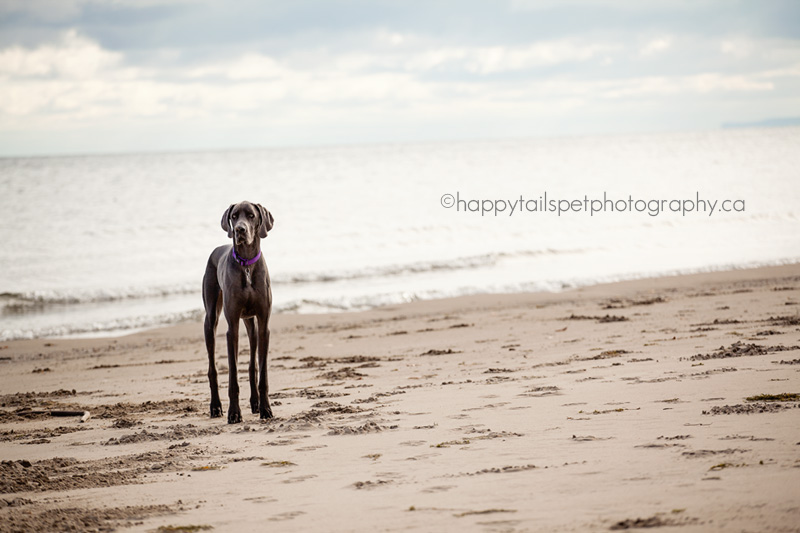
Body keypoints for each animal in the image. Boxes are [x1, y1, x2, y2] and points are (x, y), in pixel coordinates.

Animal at [203, 202, 276, 422]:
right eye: (234, 216)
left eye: (251, 215)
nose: (239, 230)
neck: (247, 265)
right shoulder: (232, 326)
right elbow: (233, 376)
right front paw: (234, 413)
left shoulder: (263, 323)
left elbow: (262, 373)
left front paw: (266, 409)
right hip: (210, 320)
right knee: (212, 369)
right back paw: (215, 407)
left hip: (251, 323)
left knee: (253, 365)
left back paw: (255, 403)